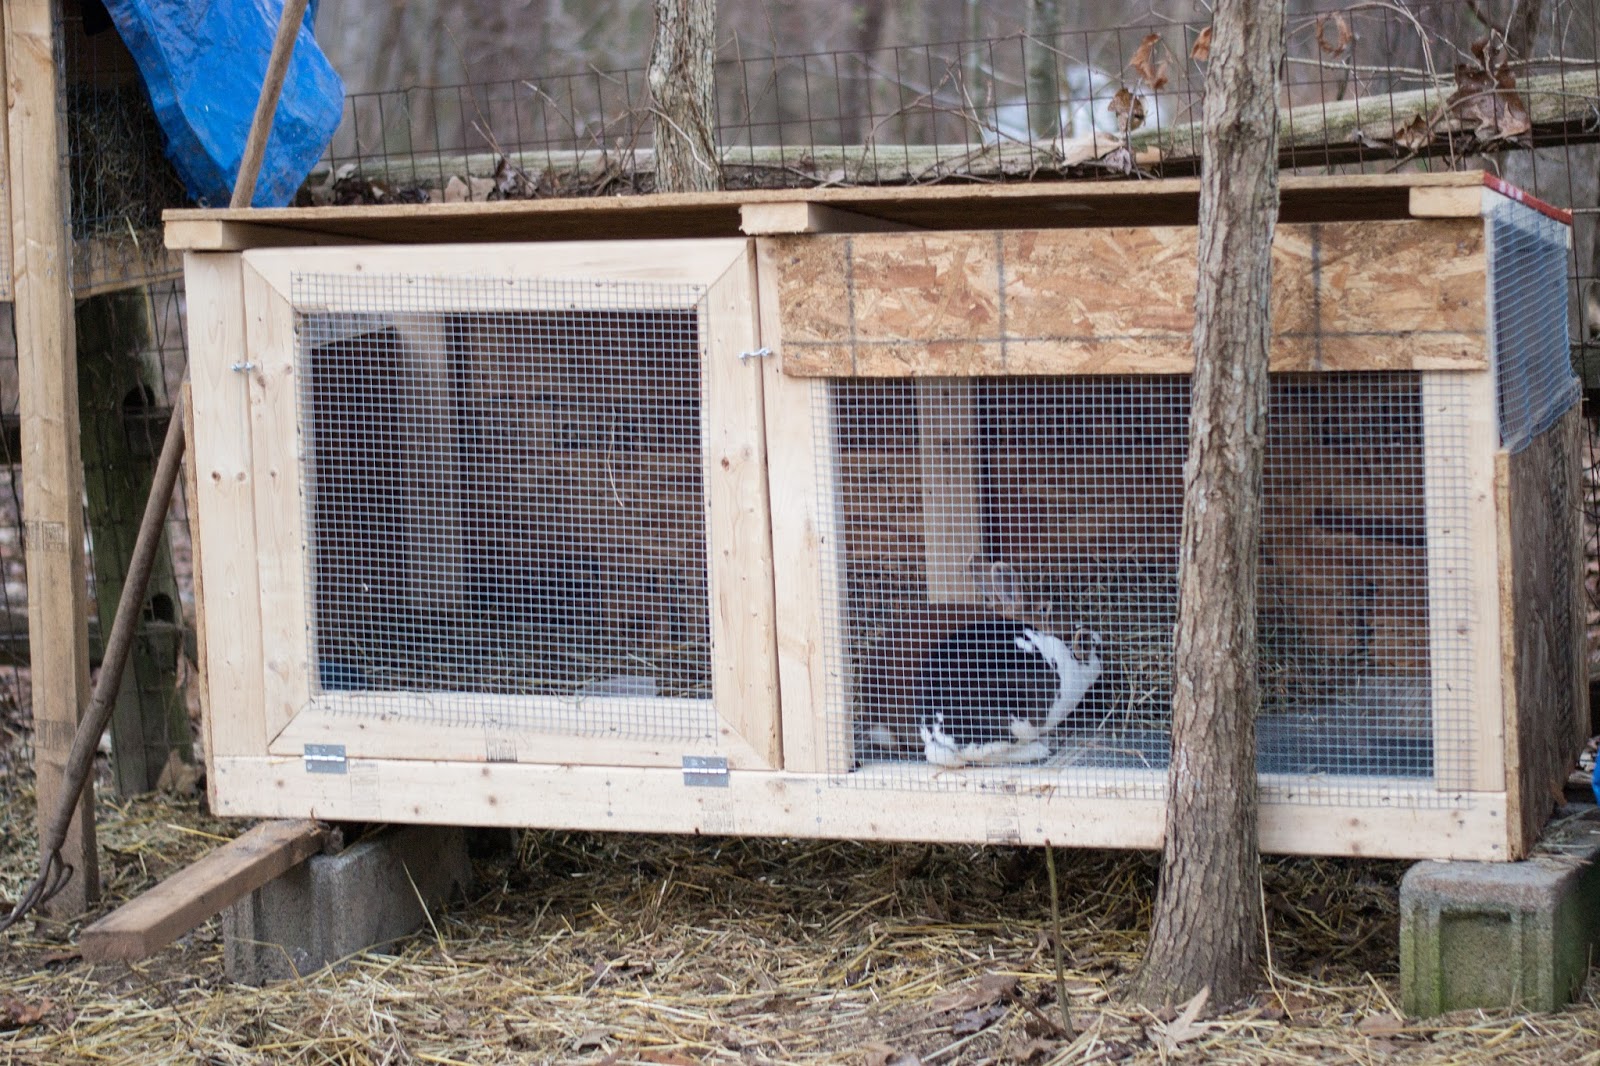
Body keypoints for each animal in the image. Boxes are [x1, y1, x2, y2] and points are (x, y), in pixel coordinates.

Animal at [912, 561, 1103, 768]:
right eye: (1044, 609)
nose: (1097, 636)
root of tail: (938, 737)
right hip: (1014, 719)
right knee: (984, 756)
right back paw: (1039, 749)